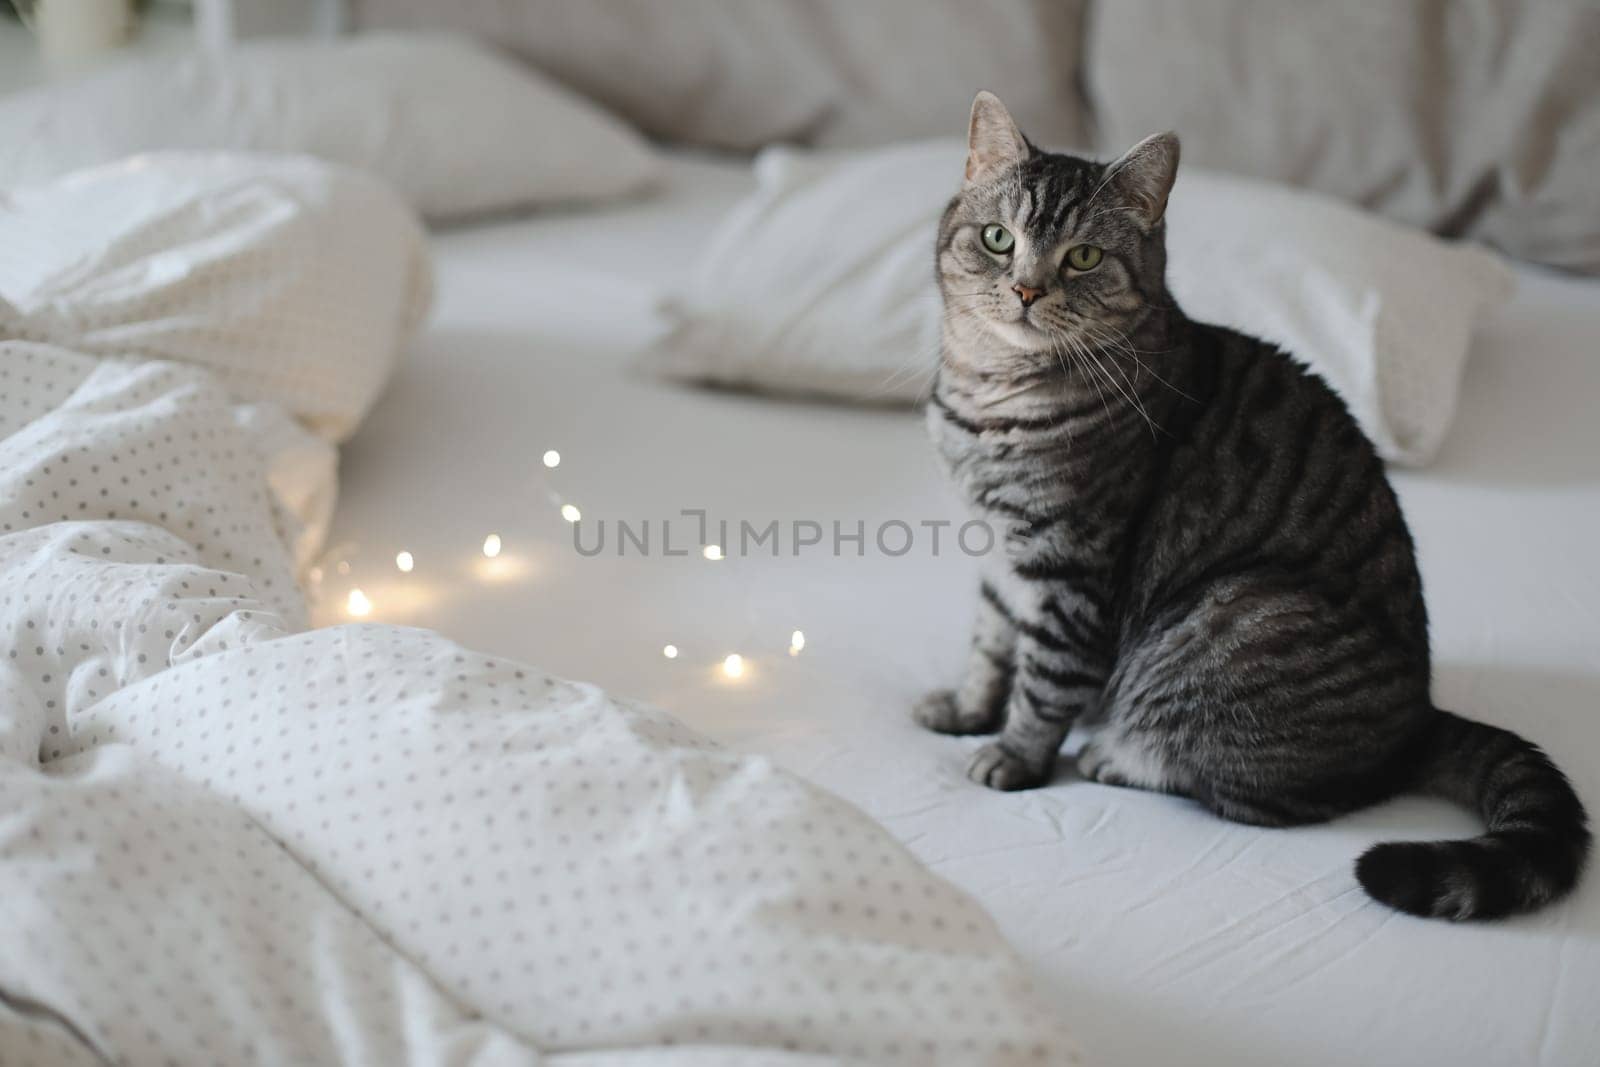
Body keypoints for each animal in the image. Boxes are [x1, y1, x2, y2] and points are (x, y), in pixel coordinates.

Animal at [915, 91, 1587, 921]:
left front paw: (1011, 754)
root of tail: (1418, 721)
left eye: (1084, 257)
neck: (989, 395)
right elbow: (989, 644)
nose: (1027, 289)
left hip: (1228, 616)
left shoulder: (1069, 567)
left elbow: (1043, 681)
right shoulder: (999, 555)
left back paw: (1116, 754)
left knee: (1247, 791)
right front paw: (966, 708)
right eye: (998, 239)